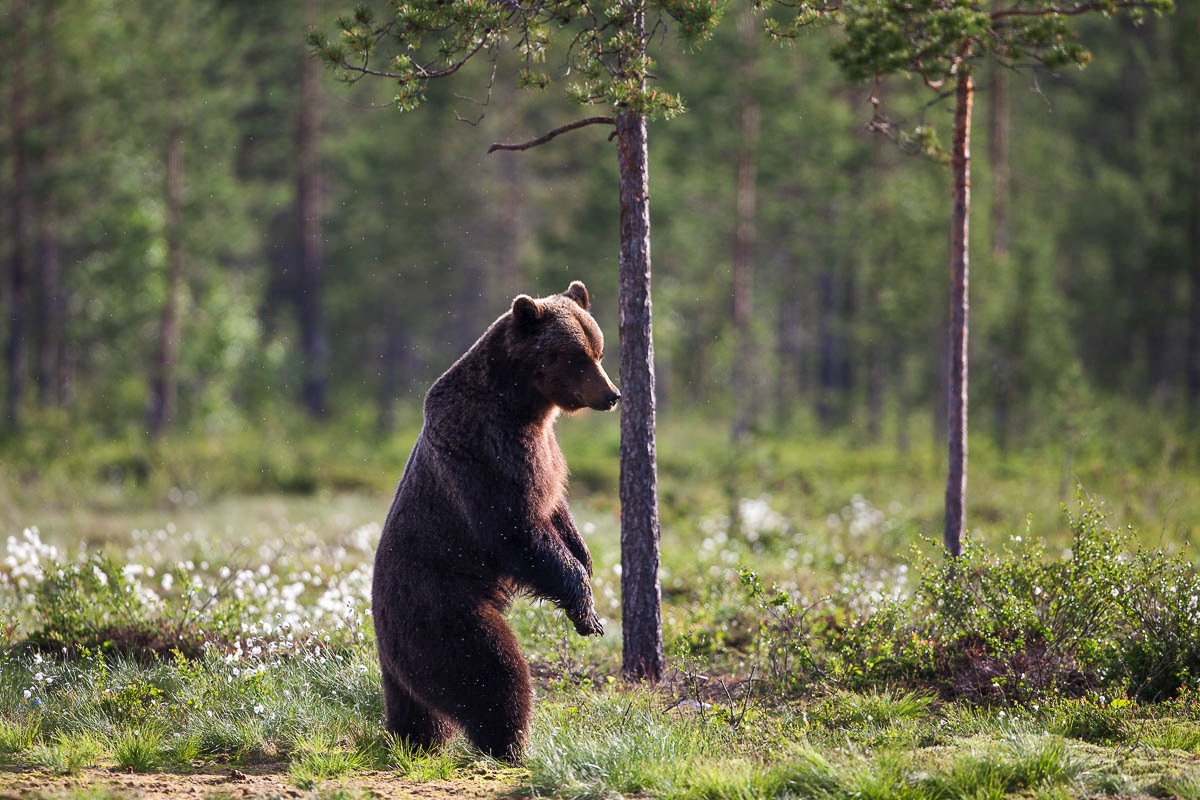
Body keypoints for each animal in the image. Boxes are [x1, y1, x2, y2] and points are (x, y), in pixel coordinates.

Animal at [372, 280, 619, 762]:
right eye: (577, 357)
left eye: (598, 349)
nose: (612, 394)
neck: (522, 404)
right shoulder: (490, 454)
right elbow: (518, 531)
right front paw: (587, 611)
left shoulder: (546, 454)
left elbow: (557, 510)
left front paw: (586, 561)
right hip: (441, 609)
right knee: (492, 672)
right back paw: (511, 745)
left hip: (406, 658)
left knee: (417, 705)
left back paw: (415, 738)